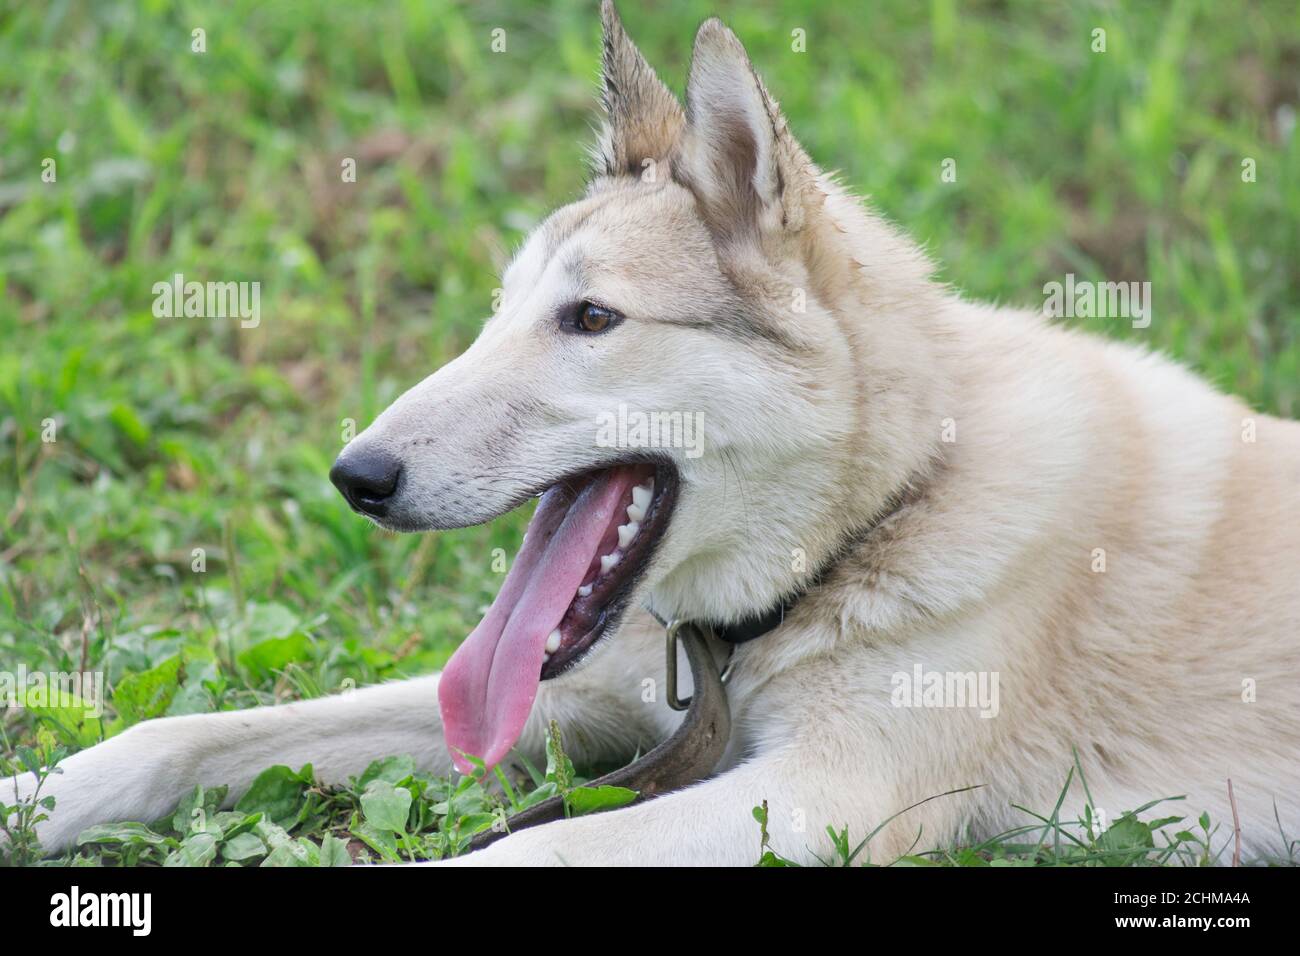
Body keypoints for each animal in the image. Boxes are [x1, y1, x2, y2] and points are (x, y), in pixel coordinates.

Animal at [12, 1, 1300, 868]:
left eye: (591, 320)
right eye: (497, 312)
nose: (354, 477)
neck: (892, 504)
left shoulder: (829, 792)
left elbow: (521, 849)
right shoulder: (590, 704)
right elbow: (179, 732)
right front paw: (32, 796)